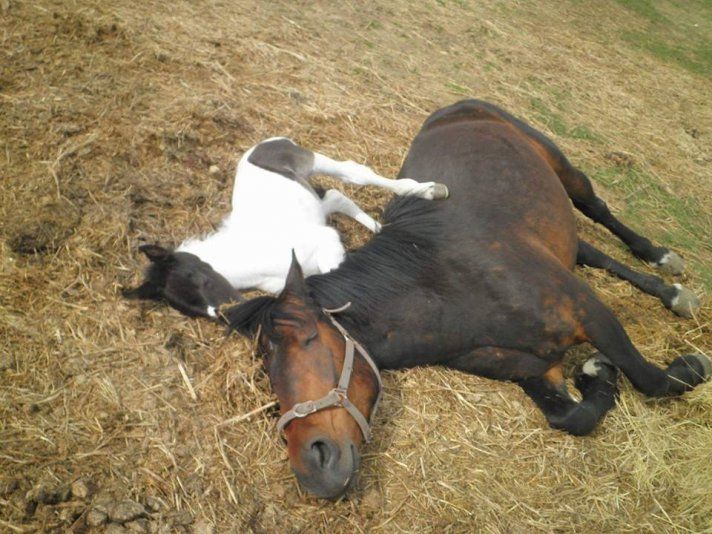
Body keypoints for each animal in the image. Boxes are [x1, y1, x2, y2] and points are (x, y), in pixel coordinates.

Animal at [123, 137, 448, 318]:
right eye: (186, 306)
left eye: (198, 279)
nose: (222, 313)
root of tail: (267, 141)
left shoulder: (325, 240)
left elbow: (338, 271)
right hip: (313, 201)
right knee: (336, 197)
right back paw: (380, 227)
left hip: (312, 161)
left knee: (354, 173)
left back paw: (432, 191)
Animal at [225, 100, 709, 499]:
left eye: (307, 340)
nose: (313, 468)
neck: (447, 285)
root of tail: (455, 107)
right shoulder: (536, 369)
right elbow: (572, 418)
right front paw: (597, 373)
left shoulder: (587, 311)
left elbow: (652, 380)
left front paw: (687, 367)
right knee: (590, 252)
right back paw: (668, 292)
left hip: (561, 166)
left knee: (598, 209)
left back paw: (664, 263)